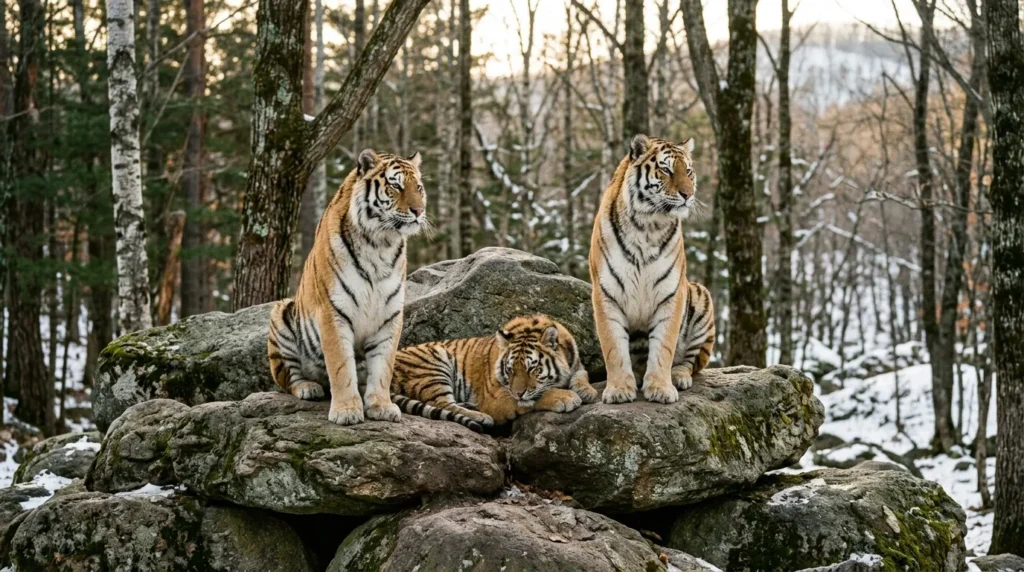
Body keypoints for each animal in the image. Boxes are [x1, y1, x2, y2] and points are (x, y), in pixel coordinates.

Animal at [267, 148, 427, 425]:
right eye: (396, 186)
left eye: (418, 186)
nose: (419, 210)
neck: (381, 244)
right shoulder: (333, 312)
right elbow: (341, 366)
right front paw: (346, 411)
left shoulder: (390, 315)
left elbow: (383, 367)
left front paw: (381, 406)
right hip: (281, 313)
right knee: (287, 378)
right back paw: (309, 388)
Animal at [390, 315, 599, 431]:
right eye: (510, 369)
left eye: (532, 368)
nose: (518, 392)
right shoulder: (496, 397)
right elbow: (536, 397)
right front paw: (565, 397)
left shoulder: (577, 365)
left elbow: (582, 375)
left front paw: (587, 391)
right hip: (434, 364)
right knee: (441, 404)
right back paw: (481, 416)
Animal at [589, 134, 715, 405]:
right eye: (666, 169)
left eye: (689, 171)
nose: (688, 194)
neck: (647, 226)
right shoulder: (606, 293)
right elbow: (614, 347)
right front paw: (618, 389)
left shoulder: (671, 292)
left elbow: (664, 346)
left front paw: (660, 388)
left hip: (700, 297)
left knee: (691, 362)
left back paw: (678, 376)